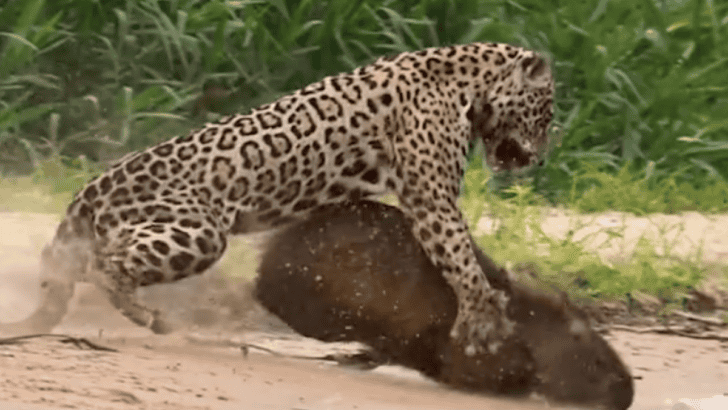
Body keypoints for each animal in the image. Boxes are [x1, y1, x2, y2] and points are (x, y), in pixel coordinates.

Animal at [1, 42, 554, 354]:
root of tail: (89, 191)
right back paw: (153, 318)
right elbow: (460, 256)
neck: (472, 84)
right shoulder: (432, 197)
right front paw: (484, 318)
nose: (541, 158)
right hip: (200, 232)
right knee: (104, 266)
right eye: (546, 113)